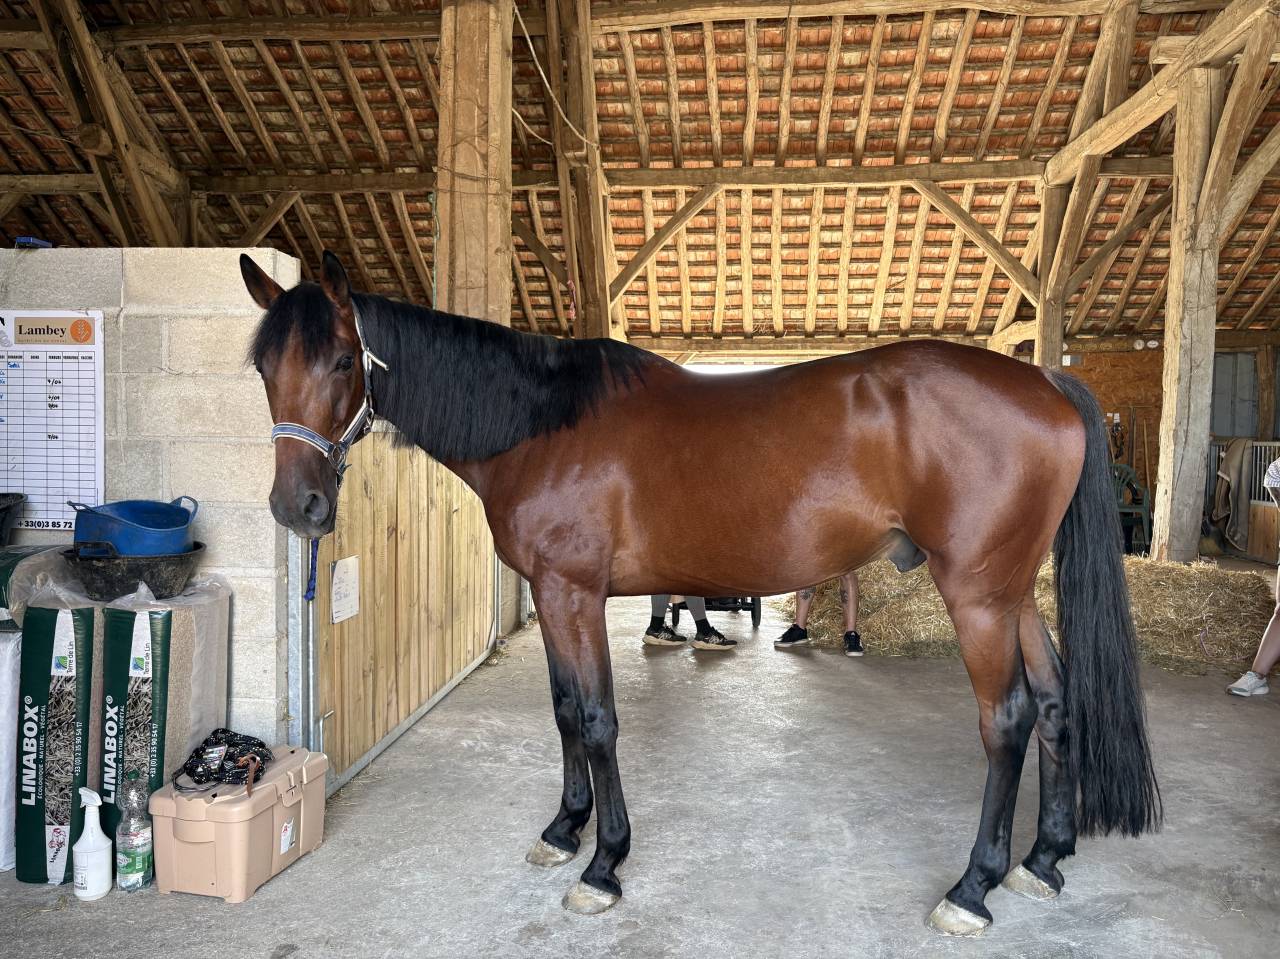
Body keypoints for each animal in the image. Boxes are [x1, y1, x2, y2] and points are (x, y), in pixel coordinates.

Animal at [242, 251, 1160, 936]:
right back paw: (1043, 859)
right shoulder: (552, 596)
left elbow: (598, 718)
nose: (296, 507)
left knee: (1007, 718)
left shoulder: (573, 593)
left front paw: (604, 863)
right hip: (1012, 593)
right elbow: (564, 710)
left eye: (341, 360)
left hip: (975, 596)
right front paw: (563, 829)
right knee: (1055, 701)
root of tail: (1045, 382)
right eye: (262, 368)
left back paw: (973, 886)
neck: (541, 424)